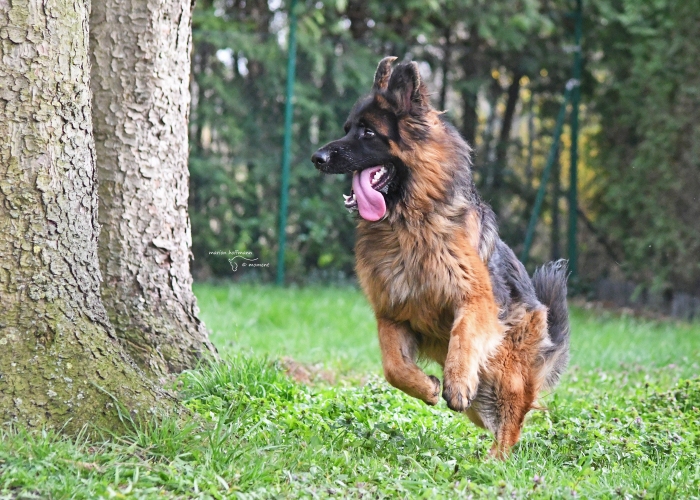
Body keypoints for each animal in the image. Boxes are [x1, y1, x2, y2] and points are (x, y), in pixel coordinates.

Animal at [312, 57, 568, 458]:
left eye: (368, 133)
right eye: (347, 129)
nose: (316, 158)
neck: (409, 225)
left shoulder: (475, 300)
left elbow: (462, 337)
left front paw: (457, 382)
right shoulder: (392, 312)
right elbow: (393, 367)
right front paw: (428, 387)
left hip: (505, 372)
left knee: (512, 423)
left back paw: (494, 461)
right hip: (486, 398)